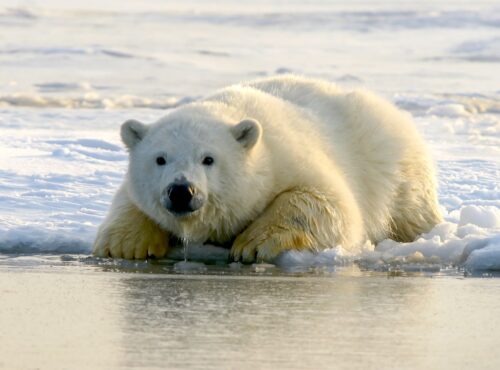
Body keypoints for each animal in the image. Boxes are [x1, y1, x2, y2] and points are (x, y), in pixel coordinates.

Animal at [94, 74, 442, 260]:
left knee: (411, 210)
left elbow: (328, 203)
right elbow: (128, 200)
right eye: (160, 158)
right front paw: (126, 245)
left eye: (208, 158)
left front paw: (252, 245)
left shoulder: (291, 158)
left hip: (394, 167)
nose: (181, 191)